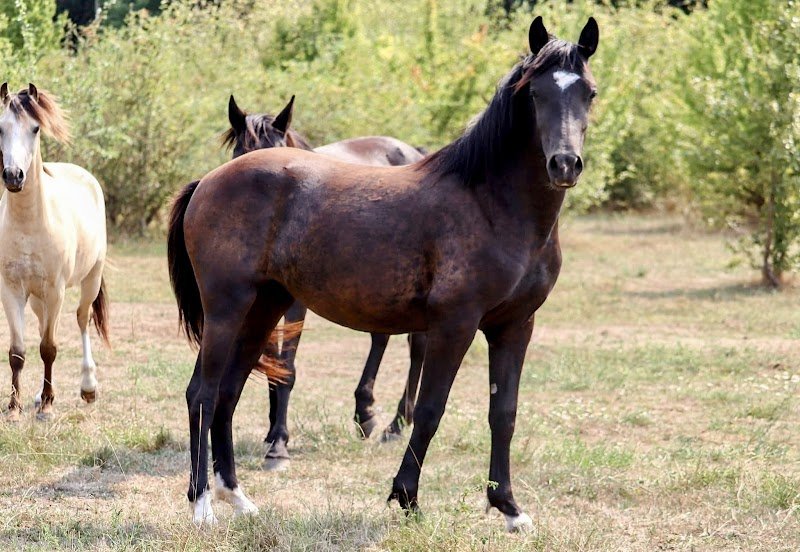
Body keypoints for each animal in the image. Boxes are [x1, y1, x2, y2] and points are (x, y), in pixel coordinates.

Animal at [0, 83, 109, 421]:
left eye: (35, 128)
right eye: (0, 128)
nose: (13, 176)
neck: (29, 224)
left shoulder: (56, 290)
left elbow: (49, 348)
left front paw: (47, 406)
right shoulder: (11, 290)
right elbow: (18, 352)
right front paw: (14, 408)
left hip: (90, 280)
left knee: (83, 319)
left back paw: (88, 388)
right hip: (37, 298)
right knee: (40, 327)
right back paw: (37, 395)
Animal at [221, 95, 428, 469]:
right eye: (239, 156)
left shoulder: (295, 305)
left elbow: (286, 366)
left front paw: (279, 444)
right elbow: (272, 363)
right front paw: (272, 431)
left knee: (416, 344)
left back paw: (396, 423)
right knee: (381, 337)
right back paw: (365, 412)